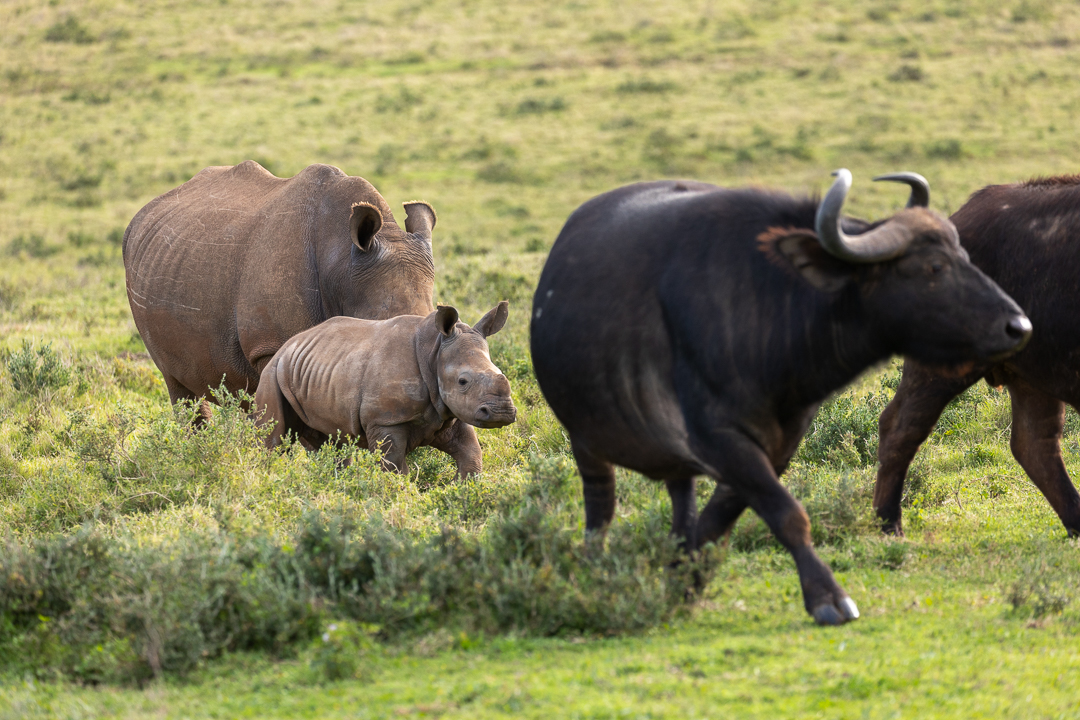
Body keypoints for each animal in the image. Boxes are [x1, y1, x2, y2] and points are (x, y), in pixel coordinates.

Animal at [529, 169, 1028, 626]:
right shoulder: (721, 438)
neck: (768, 309)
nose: (1018, 326)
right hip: (586, 442)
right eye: (932, 267)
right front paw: (828, 598)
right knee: (601, 508)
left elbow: (718, 521)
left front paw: (684, 581)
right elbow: (787, 514)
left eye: (964, 255)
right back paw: (594, 568)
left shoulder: (777, 443)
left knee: (680, 498)